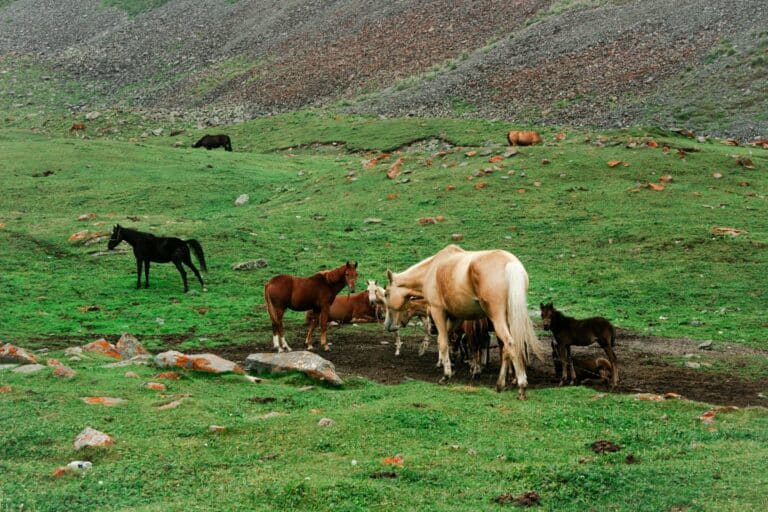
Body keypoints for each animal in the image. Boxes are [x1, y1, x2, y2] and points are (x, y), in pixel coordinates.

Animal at [383, 245, 546, 399]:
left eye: (386, 294)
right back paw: (500, 384)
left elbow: (443, 343)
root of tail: (511, 263)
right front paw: (450, 366)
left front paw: (446, 375)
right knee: (505, 348)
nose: (387, 325)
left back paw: (521, 386)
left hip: (498, 318)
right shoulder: (455, 318)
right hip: (508, 318)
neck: (431, 269)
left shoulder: (438, 311)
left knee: (510, 344)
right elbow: (449, 342)